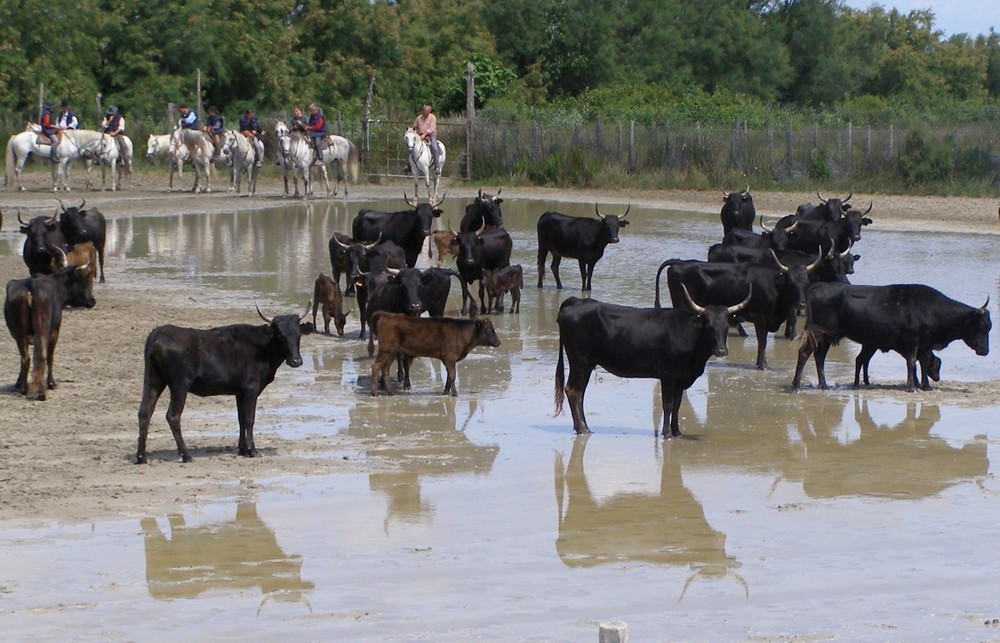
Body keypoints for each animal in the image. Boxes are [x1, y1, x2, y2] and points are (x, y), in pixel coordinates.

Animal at [370, 314, 500, 398]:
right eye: (489, 330)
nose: (498, 342)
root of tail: (386, 317)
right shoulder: (450, 358)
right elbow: (452, 376)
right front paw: (454, 393)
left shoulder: (448, 360)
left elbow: (449, 376)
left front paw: (446, 391)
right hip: (386, 350)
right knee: (376, 366)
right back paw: (374, 393)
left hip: (391, 353)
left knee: (385, 369)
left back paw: (390, 392)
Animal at [792, 284, 988, 392]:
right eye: (982, 326)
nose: (985, 351)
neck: (930, 309)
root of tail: (818, 287)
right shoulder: (912, 342)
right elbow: (912, 362)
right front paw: (911, 387)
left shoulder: (924, 345)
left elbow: (923, 363)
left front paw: (925, 386)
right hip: (819, 334)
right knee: (804, 353)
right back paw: (796, 386)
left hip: (826, 338)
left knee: (819, 357)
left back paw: (824, 385)